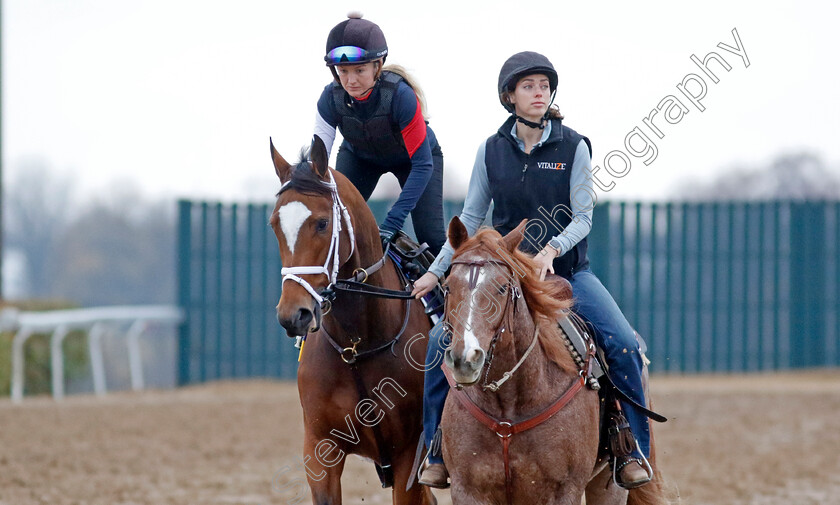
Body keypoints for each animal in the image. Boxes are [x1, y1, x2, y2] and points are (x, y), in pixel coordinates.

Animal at [270, 135, 436, 504]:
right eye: (274, 225)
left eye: (322, 223)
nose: (293, 315)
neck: (357, 345)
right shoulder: (320, 448)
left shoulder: (410, 454)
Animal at [440, 217, 668, 504]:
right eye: (448, 287)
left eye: (502, 288)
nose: (466, 358)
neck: (509, 405)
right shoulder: (468, 490)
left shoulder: (563, 490)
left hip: (609, 485)